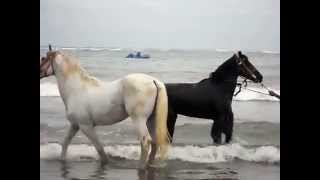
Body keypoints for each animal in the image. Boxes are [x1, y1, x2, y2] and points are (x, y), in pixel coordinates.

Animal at [40, 46, 170, 167]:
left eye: (43, 58)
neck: (76, 88)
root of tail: (153, 81)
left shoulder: (86, 126)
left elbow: (99, 148)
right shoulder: (75, 125)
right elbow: (65, 143)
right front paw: (61, 159)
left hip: (139, 119)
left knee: (145, 142)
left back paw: (141, 166)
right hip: (151, 120)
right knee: (154, 142)